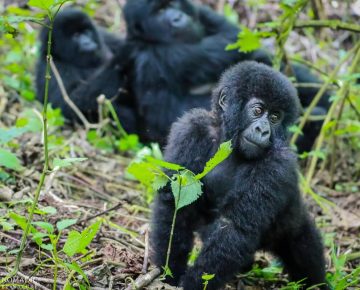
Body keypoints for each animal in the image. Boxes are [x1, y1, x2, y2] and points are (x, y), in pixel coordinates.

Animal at [123, 0, 330, 153]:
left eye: (173, 4)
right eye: (159, 11)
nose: (177, 17)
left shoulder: (205, 14)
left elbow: (237, 39)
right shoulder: (148, 60)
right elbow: (165, 117)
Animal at [150, 61, 328, 290]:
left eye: (275, 117)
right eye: (258, 110)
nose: (263, 131)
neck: (231, 143)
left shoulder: (277, 163)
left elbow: (234, 229)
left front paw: (192, 284)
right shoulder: (192, 129)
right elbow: (175, 203)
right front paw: (169, 271)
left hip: (291, 226)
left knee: (305, 250)